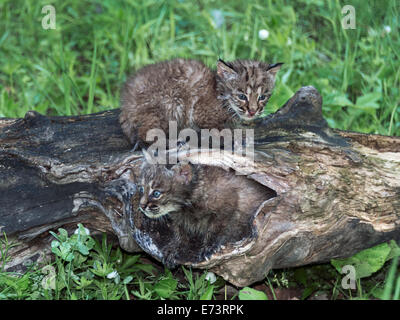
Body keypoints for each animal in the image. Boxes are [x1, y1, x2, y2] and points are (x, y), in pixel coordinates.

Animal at [120, 58, 282, 144]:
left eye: (262, 97)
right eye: (242, 96)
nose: (253, 111)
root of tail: (126, 102)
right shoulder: (200, 114)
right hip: (170, 104)